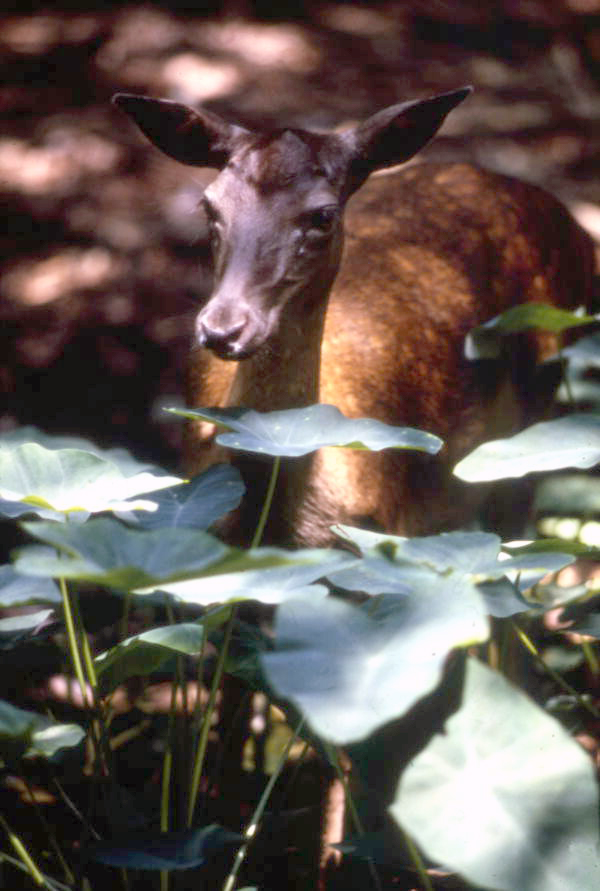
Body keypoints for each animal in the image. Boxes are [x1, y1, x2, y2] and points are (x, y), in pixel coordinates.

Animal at [113, 88, 595, 548]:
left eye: (323, 215)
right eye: (209, 207)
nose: (223, 328)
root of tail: (576, 227)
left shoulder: (381, 529)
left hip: (532, 423)